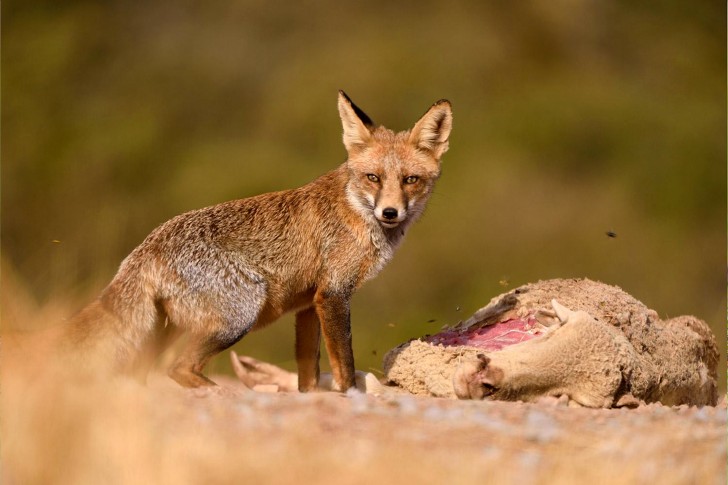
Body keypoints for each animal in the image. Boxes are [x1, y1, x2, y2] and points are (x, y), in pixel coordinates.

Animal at [64, 91, 450, 392]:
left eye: (410, 180)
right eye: (373, 178)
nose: (390, 212)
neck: (354, 210)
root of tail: (147, 245)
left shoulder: (309, 304)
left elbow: (308, 376)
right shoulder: (334, 294)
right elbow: (344, 368)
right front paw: (350, 397)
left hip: (166, 329)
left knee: (141, 372)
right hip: (240, 314)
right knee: (178, 369)